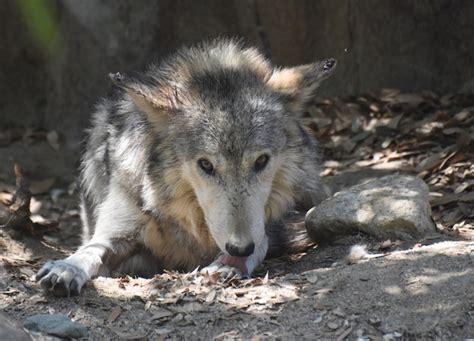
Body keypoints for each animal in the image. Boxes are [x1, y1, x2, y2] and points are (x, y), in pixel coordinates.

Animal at [35, 37, 336, 294]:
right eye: (205, 165)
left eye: (261, 161)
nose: (239, 249)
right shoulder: (120, 230)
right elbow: (92, 249)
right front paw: (67, 268)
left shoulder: (266, 226)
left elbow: (261, 242)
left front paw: (229, 264)